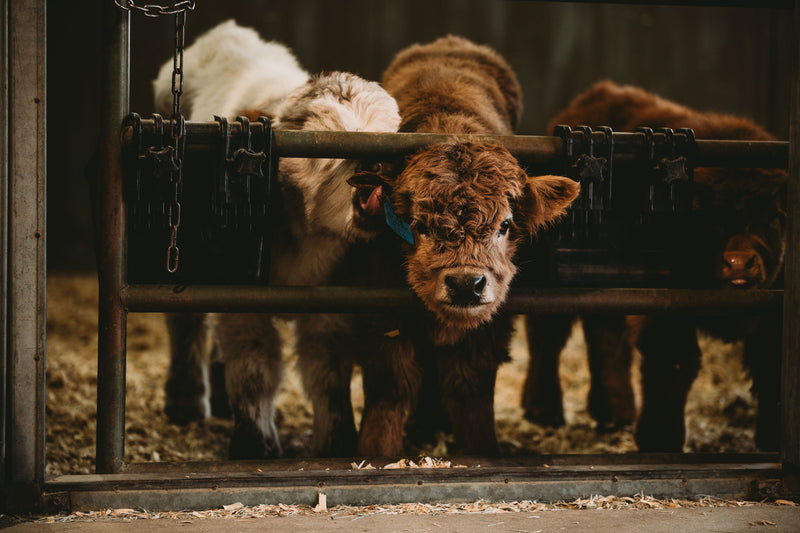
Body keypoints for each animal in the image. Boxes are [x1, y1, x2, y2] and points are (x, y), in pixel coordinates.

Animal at [523, 80, 786, 452]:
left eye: (770, 217)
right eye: (709, 217)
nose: (739, 263)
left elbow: (770, 369)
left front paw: (771, 440)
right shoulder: (665, 309)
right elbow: (674, 362)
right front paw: (660, 439)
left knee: (606, 338)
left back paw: (614, 412)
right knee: (548, 336)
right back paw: (543, 410)